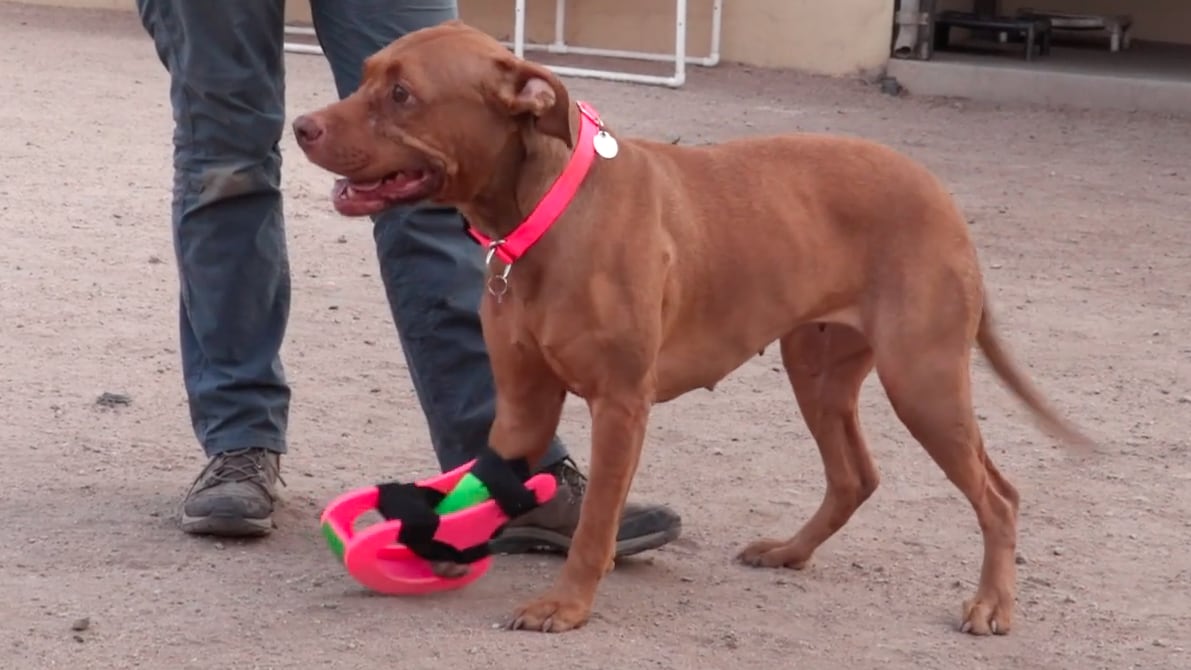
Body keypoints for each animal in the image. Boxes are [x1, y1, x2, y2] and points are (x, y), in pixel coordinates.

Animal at [292, 20, 1090, 637]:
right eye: (365, 77)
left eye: (403, 95)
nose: (301, 126)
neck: (543, 211)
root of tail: (940, 193)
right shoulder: (521, 407)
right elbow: (493, 479)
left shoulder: (620, 406)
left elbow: (595, 524)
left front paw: (567, 605)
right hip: (818, 372)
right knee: (854, 476)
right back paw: (790, 552)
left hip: (921, 380)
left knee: (998, 496)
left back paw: (991, 605)